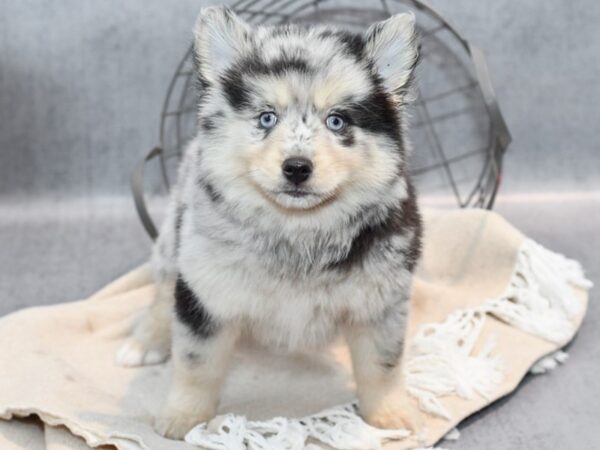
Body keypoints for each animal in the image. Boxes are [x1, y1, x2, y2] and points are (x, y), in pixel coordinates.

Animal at [117, 7, 422, 442]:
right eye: (266, 117)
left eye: (337, 121)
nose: (296, 168)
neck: (297, 230)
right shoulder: (208, 292)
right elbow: (196, 365)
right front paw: (184, 418)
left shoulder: (380, 301)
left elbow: (382, 366)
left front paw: (389, 414)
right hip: (174, 239)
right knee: (162, 291)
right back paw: (144, 342)